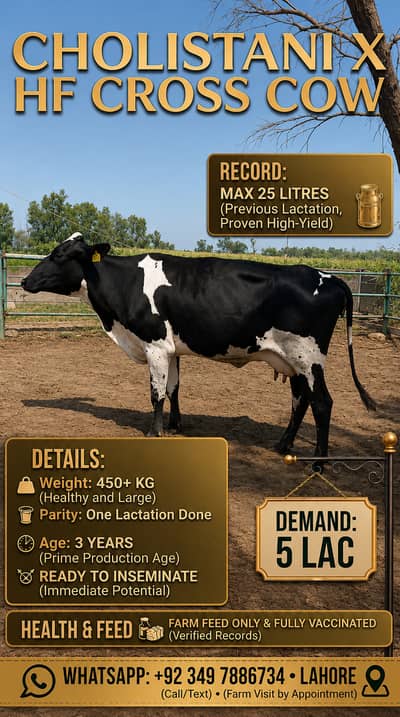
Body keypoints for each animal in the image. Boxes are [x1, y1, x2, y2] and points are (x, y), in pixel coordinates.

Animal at [21, 233, 375, 457]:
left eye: (59, 255)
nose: (25, 280)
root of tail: (329, 276)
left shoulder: (154, 346)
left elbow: (156, 393)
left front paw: (154, 432)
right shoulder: (171, 348)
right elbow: (174, 389)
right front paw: (176, 425)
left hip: (308, 358)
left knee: (322, 403)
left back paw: (318, 462)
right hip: (293, 361)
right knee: (301, 401)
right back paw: (283, 445)